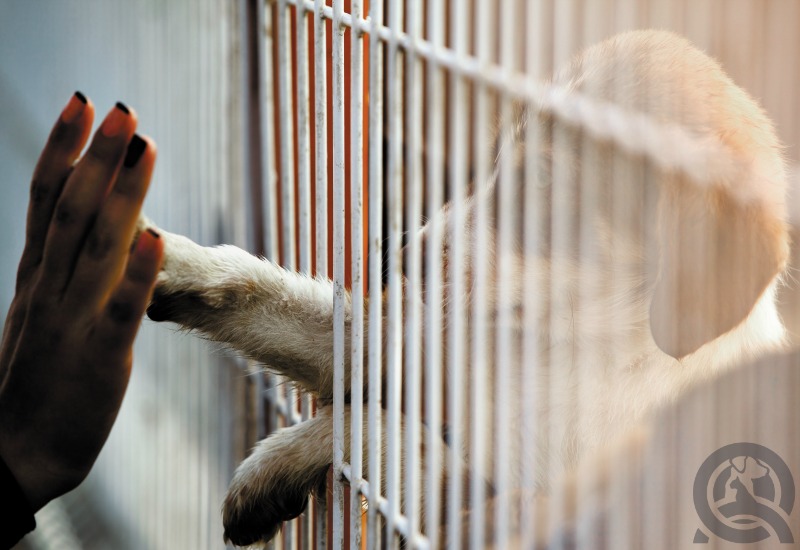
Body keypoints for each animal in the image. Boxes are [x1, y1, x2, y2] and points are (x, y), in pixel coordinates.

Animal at [141, 32, 792, 548]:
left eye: (543, 180)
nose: (402, 256)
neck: (575, 348)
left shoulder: (496, 512)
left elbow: (380, 428)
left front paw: (285, 458)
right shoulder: (432, 348)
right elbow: (275, 298)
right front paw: (162, 258)